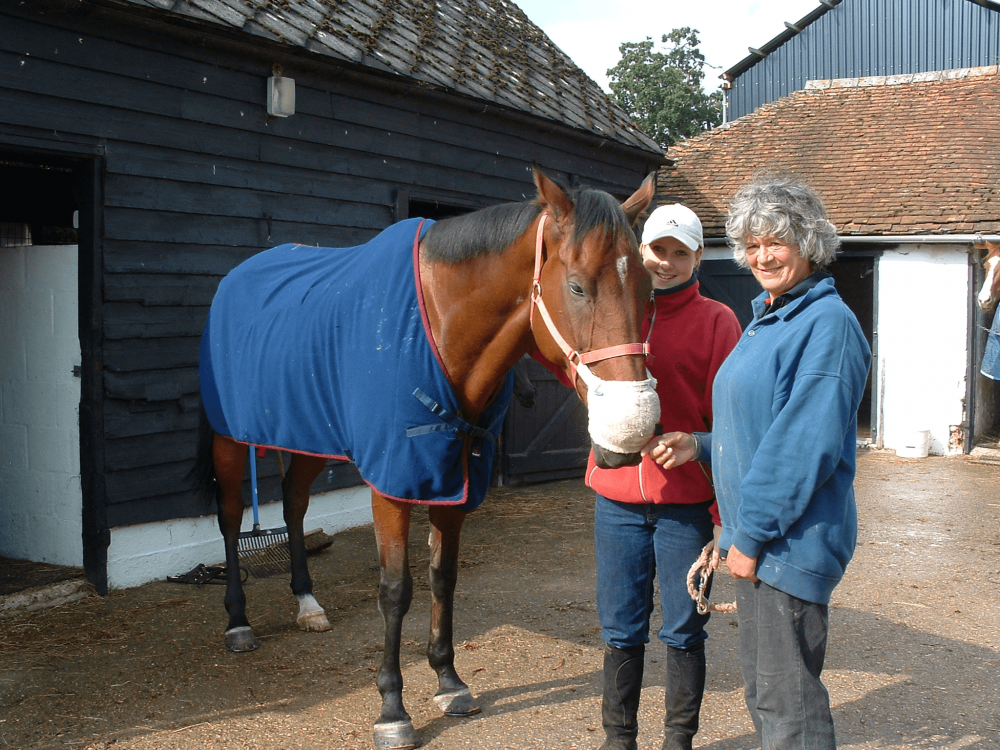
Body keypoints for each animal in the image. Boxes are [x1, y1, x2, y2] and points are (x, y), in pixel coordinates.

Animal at [192, 167, 658, 749]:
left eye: (648, 289)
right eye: (576, 286)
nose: (632, 430)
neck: (438, 327)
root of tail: (237, 277)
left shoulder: (453, 482)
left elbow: (443, 577)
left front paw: (448, 680)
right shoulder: (393, 483)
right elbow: (396, 591)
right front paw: (393, 708)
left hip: (307, 432)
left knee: (295, 505)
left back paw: (307, 603)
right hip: (229, 439)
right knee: (232, 518)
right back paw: (238, 622)